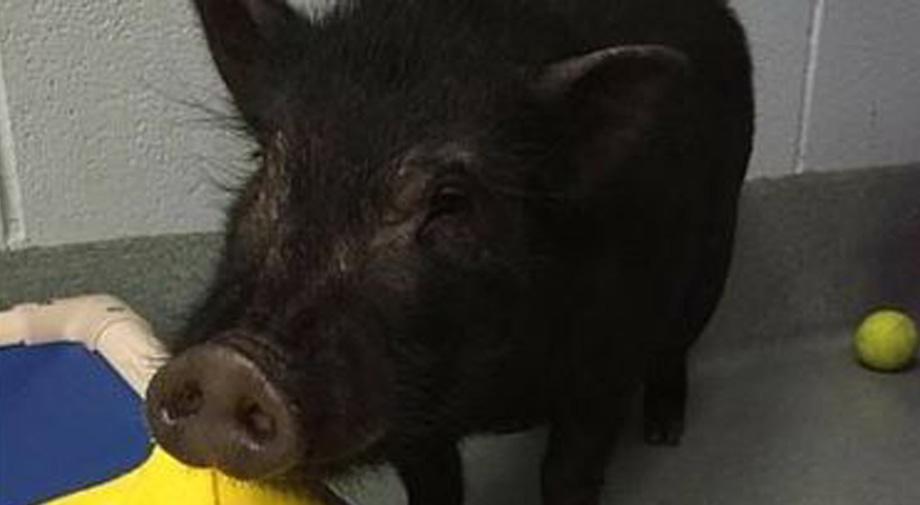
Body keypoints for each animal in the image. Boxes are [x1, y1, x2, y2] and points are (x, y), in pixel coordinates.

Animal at [145, 1, 754, 504]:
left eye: (451, 201)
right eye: (267, 162)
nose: (229, 362)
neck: (490, 394)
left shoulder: (604, 371)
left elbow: (568, 475)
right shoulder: (414, 423)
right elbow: (434, 483)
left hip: (713, 260)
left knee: (677, 345)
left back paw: (664, 432)